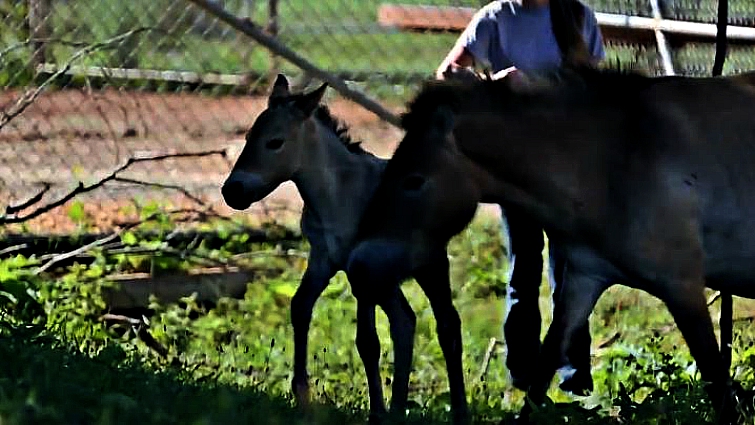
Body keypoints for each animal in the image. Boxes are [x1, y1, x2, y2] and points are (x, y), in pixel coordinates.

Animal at [345, 66, 755, 424]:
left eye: (413, 181)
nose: (358, 265)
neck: (615, 159)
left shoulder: (682, 288)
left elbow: (719, 388)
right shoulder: (584, 280)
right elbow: (541, 377)